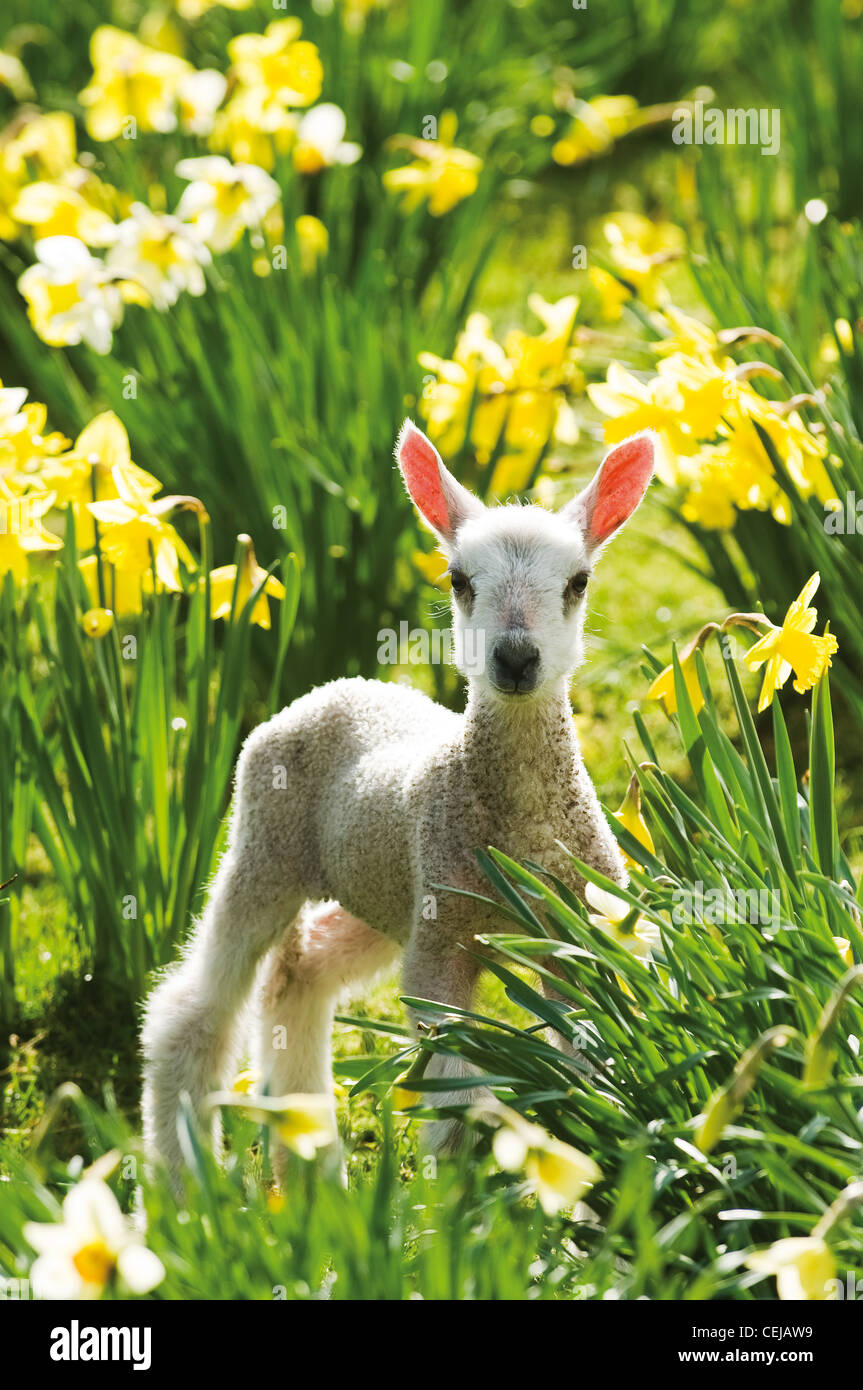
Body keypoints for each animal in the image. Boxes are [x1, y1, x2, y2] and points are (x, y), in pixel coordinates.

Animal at [141, 420, 655, 1179]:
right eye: (459, 581)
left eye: (578, 582)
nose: (515, 659)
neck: (521, 829)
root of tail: (337, 686)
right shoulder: (440, 938)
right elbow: (457, 1099)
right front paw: (465, 1196)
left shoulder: (579, 928)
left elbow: (592, 1056)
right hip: (264, 848)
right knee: (192, 1013)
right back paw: (187, 1188)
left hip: (379, 883)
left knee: (298, 974)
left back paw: (312, 1170)